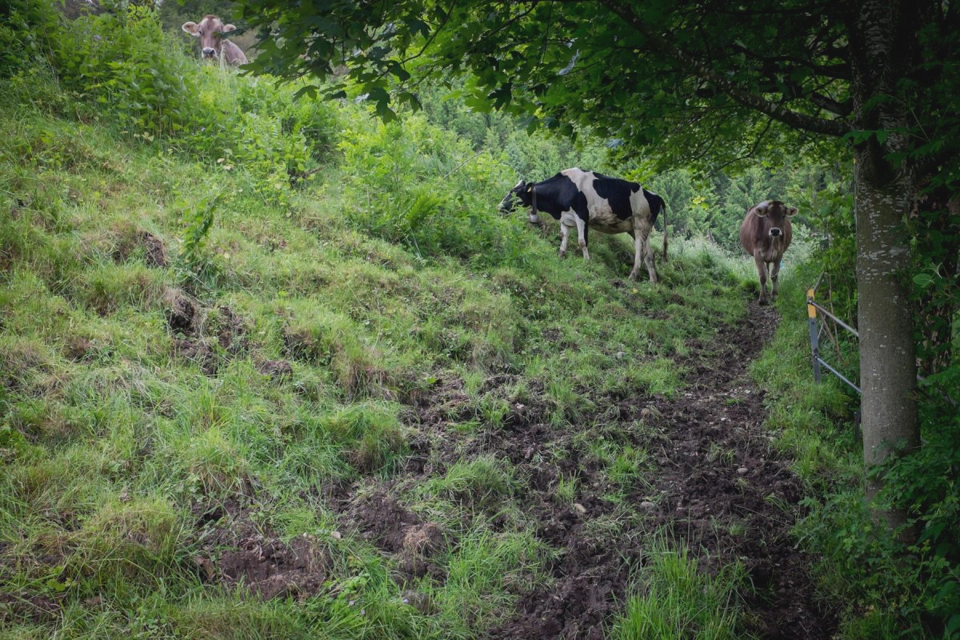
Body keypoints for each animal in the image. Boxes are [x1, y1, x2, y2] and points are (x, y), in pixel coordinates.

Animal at [496, 168, 668, 282]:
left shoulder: (582, 216)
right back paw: (653, 283)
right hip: (640, 228)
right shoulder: (565, 218)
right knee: (649, 255)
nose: (499, 207)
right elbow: (563, 237)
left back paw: (632, 277)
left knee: (639, 253)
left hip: (640, 224)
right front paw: (561, 256)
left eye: (515, 194)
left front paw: (587, 262)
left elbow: (582, 241)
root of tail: (655, 195)